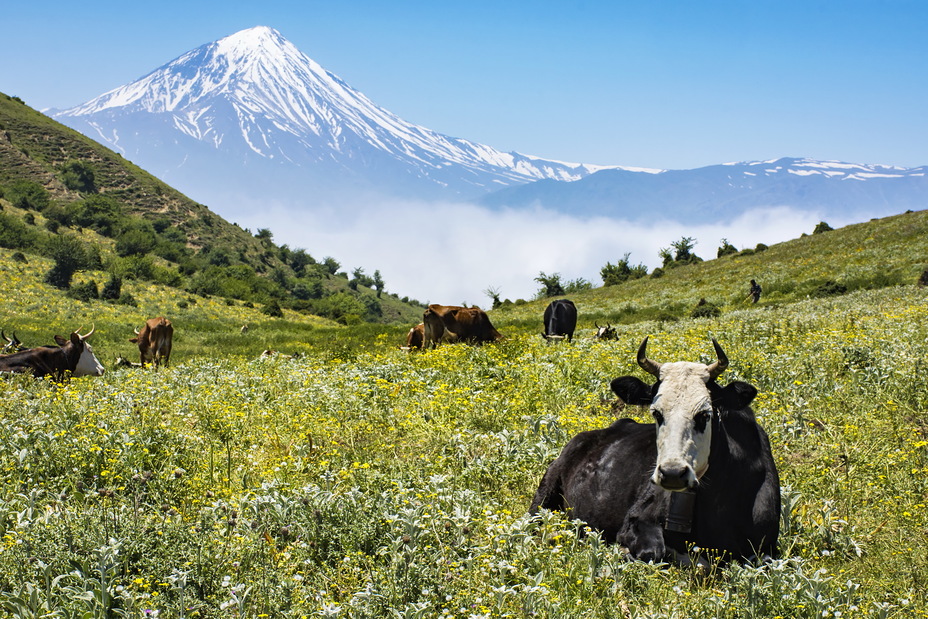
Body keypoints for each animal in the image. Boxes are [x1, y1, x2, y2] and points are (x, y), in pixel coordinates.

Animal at [528, 336, 784, 564]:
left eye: (704, 414)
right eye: (656, 413)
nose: (672, 473)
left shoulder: (767, 550)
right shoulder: (635, 521)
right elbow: (656, 552)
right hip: (543, 495)